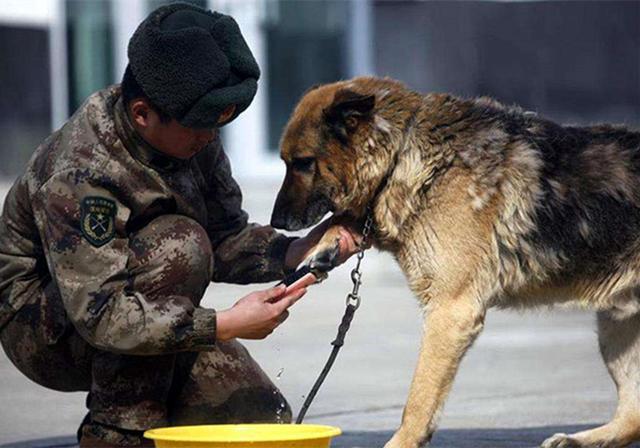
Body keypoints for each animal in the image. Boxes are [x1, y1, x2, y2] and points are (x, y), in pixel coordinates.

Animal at [270, 77, 640, 448]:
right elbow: (340, 219)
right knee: (632, 415)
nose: (275, 222)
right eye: (286, 162)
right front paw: (320, 245)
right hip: (617, 326)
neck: (402, 152)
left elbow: (419, 398)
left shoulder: (450, 312)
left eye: (302, 163)